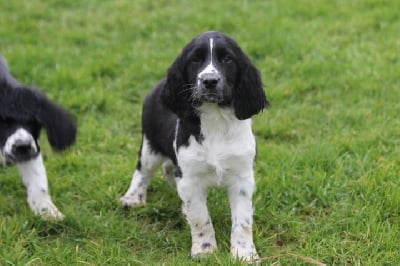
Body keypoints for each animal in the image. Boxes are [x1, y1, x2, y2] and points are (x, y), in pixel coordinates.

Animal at [0, 55, 77, 219]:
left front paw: (47, 212)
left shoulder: (32, 147)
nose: (22, 146)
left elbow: (38, 180)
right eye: (2, 121)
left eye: (33, 122)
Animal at [119, 31, 268, 260]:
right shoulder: (190, 178)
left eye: (227, 59)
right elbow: (200, 217)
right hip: (150, 145)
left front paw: (245, 255)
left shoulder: (242, 177)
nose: (209, 81)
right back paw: (133, 198)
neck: (216, 119)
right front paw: (205, 251)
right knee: (143, 170)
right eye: (195, 60)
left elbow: (243, 221)